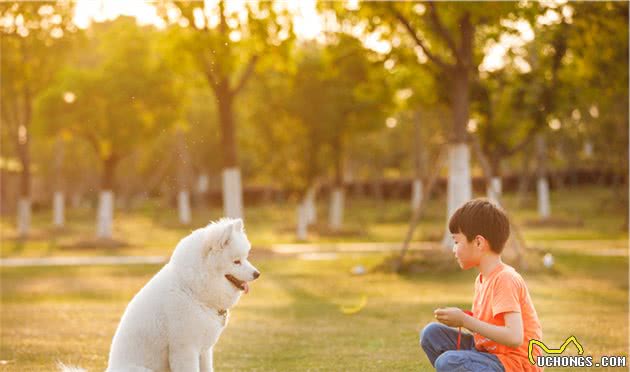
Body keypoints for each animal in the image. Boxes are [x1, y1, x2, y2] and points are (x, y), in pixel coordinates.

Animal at [61, 218, 262, 372]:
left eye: (246, 258)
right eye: (236, 262)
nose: (257, 274)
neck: (191, 290)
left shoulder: (204, 351)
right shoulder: (185, 349)